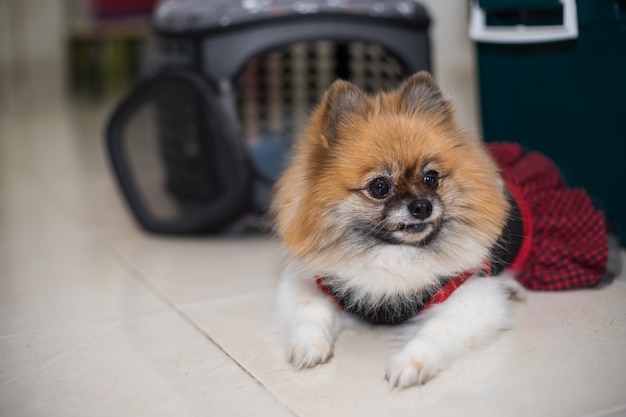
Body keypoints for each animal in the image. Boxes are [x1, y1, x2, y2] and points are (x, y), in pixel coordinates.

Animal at [270, 70, 528, 388]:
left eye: (431, 178)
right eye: (379, 187)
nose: (422, 206)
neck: (394, 254)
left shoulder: (472, 298)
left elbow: (434, 332)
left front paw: (410, 363)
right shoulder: (307, 283)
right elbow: (311, 312)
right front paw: (309, 346)